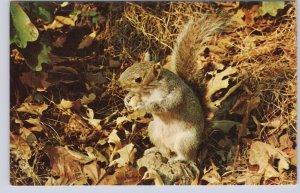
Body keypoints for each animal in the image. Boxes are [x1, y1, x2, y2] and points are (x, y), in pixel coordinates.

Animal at [118, 15, 229, 162]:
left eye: (138, 79)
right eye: (132, 66)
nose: (120, 83)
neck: (151, 90)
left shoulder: (175, 93)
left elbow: (165, 105)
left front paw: (143, 106)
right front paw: (128, 98)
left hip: (185, 141)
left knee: (189, 157)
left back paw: (177, 159)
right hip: (154, 131)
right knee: (165, 150)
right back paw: (156, 151)